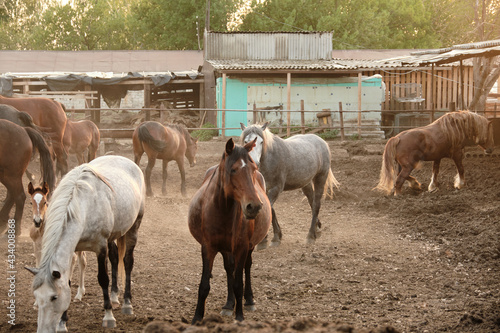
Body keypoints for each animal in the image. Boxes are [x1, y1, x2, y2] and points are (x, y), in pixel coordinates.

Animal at [26, 156, 146, 332]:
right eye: (36, 296)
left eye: (54, 297)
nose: (43, 330)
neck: (82, 207)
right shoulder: (73, 249)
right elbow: (68, 281)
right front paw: (63, 323)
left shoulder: (100, 247)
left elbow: (103, 279)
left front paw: (108, 316)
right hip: (113, 235)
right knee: (115, 258)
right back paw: (114, 297)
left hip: (134, 226)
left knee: (128, 261)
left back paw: (126, 304)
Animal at [189, 137, 272, 322]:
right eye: (233, 170)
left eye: (254, 169)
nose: (254, 206)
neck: (222, 210)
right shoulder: (208, 248)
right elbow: (204, 285)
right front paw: (197, 317)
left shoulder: (242, 247)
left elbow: (238, 284)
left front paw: (239, 316)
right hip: (226, 249)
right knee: (229, 268)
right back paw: (228, 304)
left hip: (248, 246)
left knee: (246, 267)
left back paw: (248, 301)